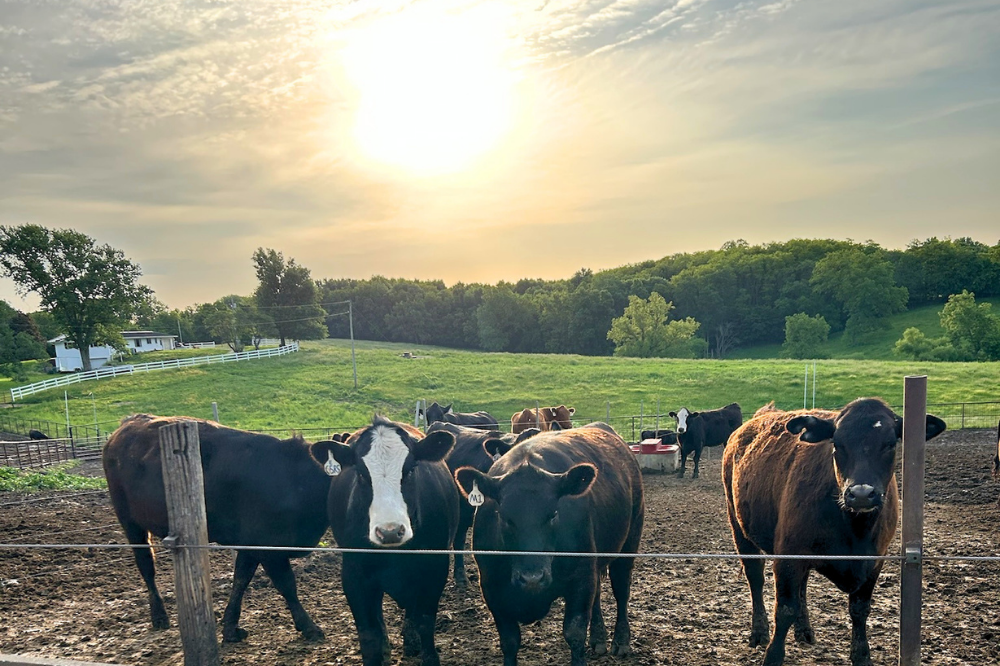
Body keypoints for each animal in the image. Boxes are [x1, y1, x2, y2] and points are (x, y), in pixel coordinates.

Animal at [102, 414, 329, 643]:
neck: (295, 482)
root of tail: (130, 421)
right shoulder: (268, 548)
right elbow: (287, 584)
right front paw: (308, 626)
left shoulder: (249, 544)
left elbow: (241, 579)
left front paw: (230, 627)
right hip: (130, 521)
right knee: (146, 564)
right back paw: (159, 616)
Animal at [310, 416, 459, 666]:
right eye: (361, 474)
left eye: (410, 470)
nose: (390, 532)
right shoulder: (354, 575)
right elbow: (370, 634)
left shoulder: (435, 568)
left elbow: (425, 621)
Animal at [455, 423, 644, 666]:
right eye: (504, 517)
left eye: (554, 514)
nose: (532, 578)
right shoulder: (491, 588)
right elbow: (509, 641)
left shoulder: (581, 579)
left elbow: (574, 633)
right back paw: (598, 638)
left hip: (629, 542)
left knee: (621, 590)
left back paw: (621, 641)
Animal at [723, 398, 946, 666]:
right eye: (837, 444)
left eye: (890, 443)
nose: (861, 494)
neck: (855, 531)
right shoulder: (788, 556)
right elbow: (785, 609)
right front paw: (773, 657)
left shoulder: (874, 561)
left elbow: (860, 610)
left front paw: (862, 657)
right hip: (739, 527)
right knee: (755, 578)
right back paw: (759, 632)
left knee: (802, 587)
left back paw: (804, 631)